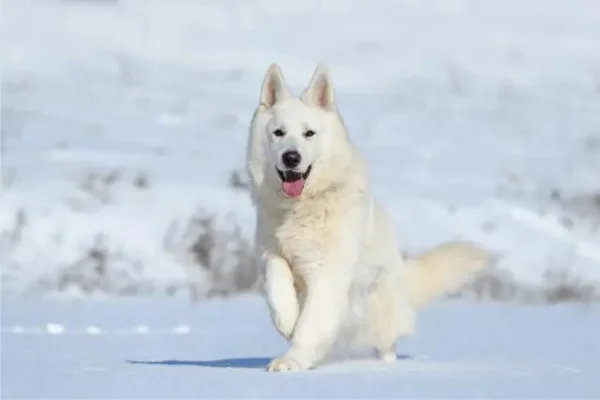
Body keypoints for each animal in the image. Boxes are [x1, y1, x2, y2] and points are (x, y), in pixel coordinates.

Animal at [246, 62, 490, 372]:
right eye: (278, 132)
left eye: (309, 133)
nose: (291, 157)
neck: (301, 208)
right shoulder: (272, 254)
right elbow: (277, 290)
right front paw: (287, 322)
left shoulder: (327, 273)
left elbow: (311, 325)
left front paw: (291, 361)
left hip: (380, 318)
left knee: (386, 345)